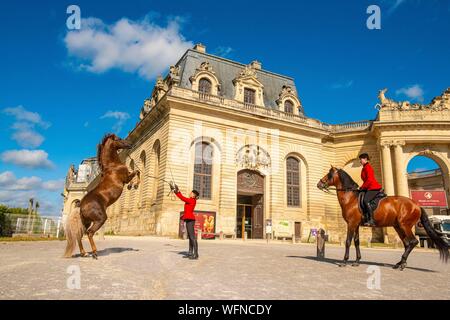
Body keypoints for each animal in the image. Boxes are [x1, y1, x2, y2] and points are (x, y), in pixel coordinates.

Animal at [318, 165, 448, 270]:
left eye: (329, 174)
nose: (319, 184)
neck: (351, 198)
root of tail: (417, 205)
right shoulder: (356, 225)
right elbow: (357, 242)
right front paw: (357, 261)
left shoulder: (351, 223)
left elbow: (348, 242)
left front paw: (344, 261)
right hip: (398, 227)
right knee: (407, 243)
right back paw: (400, 263)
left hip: (404, 226)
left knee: (413, 241)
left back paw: (402, 263)